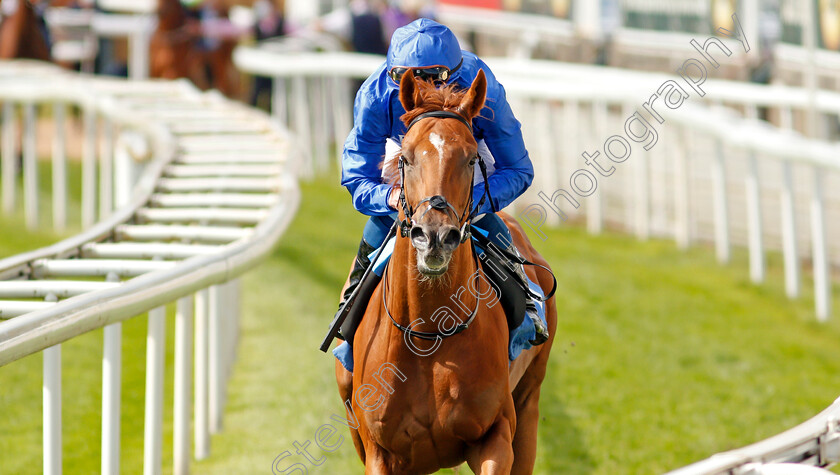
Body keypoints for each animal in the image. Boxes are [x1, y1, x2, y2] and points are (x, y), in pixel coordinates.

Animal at [334, 69, 556, 474]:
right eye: (406, 157)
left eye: (470, 159)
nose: (435, 235)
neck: (428, 333)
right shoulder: (377, 450)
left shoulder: (496, 434)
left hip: (529, 401)